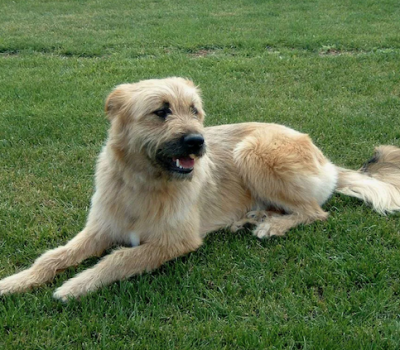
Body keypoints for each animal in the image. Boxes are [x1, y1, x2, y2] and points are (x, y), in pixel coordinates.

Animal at [0, 77, 400, 300]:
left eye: (194, 110)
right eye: (161, 111)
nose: (198, 142)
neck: (145, 182)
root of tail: (325, 160)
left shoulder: (172, 241)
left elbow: (119, 259)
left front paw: (74, 287)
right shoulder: (100, 229)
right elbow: (53, 256)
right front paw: (17, 281)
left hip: (251, 151)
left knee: (315, 212)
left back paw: (272, 225)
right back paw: (250, 217)